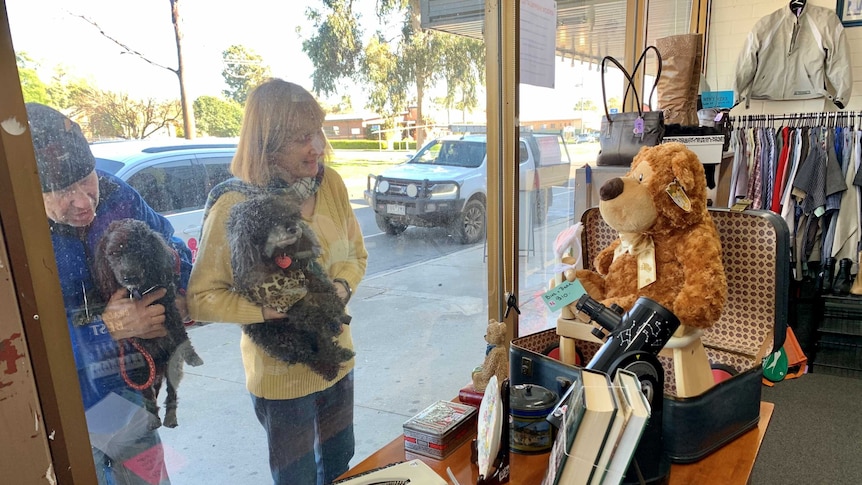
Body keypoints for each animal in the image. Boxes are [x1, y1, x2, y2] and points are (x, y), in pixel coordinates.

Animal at [93, 219, 204, 428]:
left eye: (139, 251)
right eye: (113, 254)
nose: (129, 277)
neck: (138, 291)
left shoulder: (169, 307)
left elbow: (180, 333)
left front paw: (193, 356)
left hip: (171, 365)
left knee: (171, 392)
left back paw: (170, 417)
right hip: (141, 370)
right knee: (148, 395)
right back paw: (153, 419)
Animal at [228, 193, 356, 378]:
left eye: (292, 216)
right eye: (269, 220)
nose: (293, 228)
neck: (279, 257)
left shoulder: (310, 272)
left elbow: (326, 293)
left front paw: (335, 310)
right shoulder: (288, 302)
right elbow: (310, 313)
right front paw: (326, 319)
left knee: (321, 343)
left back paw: (339, 352)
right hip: (286, 340)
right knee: (311, 354)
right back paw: (330, 363)